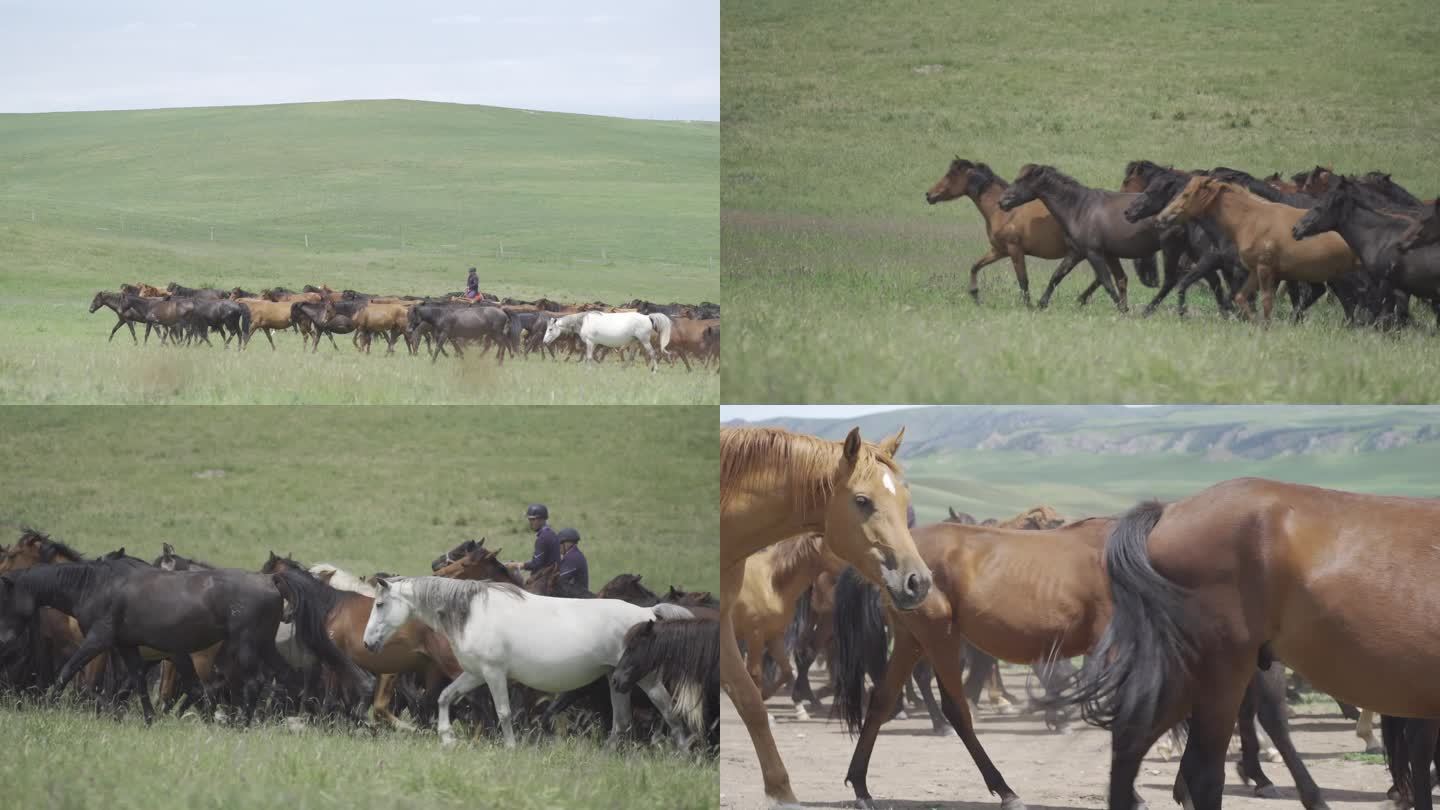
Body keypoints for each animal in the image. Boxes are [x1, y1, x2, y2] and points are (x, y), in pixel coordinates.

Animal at [362, 576, 694, 749]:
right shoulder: (474, 674)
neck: (473, 613)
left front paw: (510, 747)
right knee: (621, 722)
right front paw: (447, 738)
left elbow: (504, 712)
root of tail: (647, 614)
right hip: (617, 680)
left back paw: (681, 752)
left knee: (669, 710)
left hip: (646, 679)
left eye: (379, 604)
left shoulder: (494, 674)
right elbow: (445, 697)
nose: (367, 644)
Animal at [1152, 176, 1353, 321]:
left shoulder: (1244, 268)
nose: (1161, 218)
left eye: (1186, 195)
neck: (1246, 222)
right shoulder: (1240, 269)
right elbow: (1235, 295)